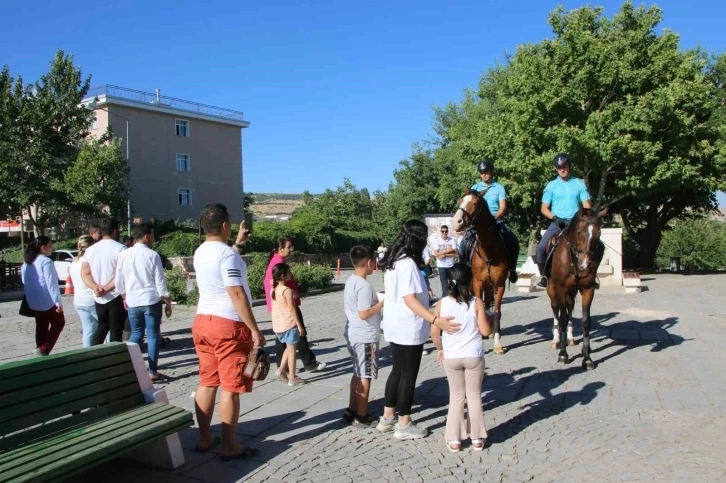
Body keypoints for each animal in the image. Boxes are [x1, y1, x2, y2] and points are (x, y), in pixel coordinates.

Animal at [452, 191, 510, 354]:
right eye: (460, 200)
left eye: (475, 203)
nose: (456, 222)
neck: (488, 251)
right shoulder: (477, 283)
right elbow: (479, 308)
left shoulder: (500, 285)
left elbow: (496, 312)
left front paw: (497, 344)